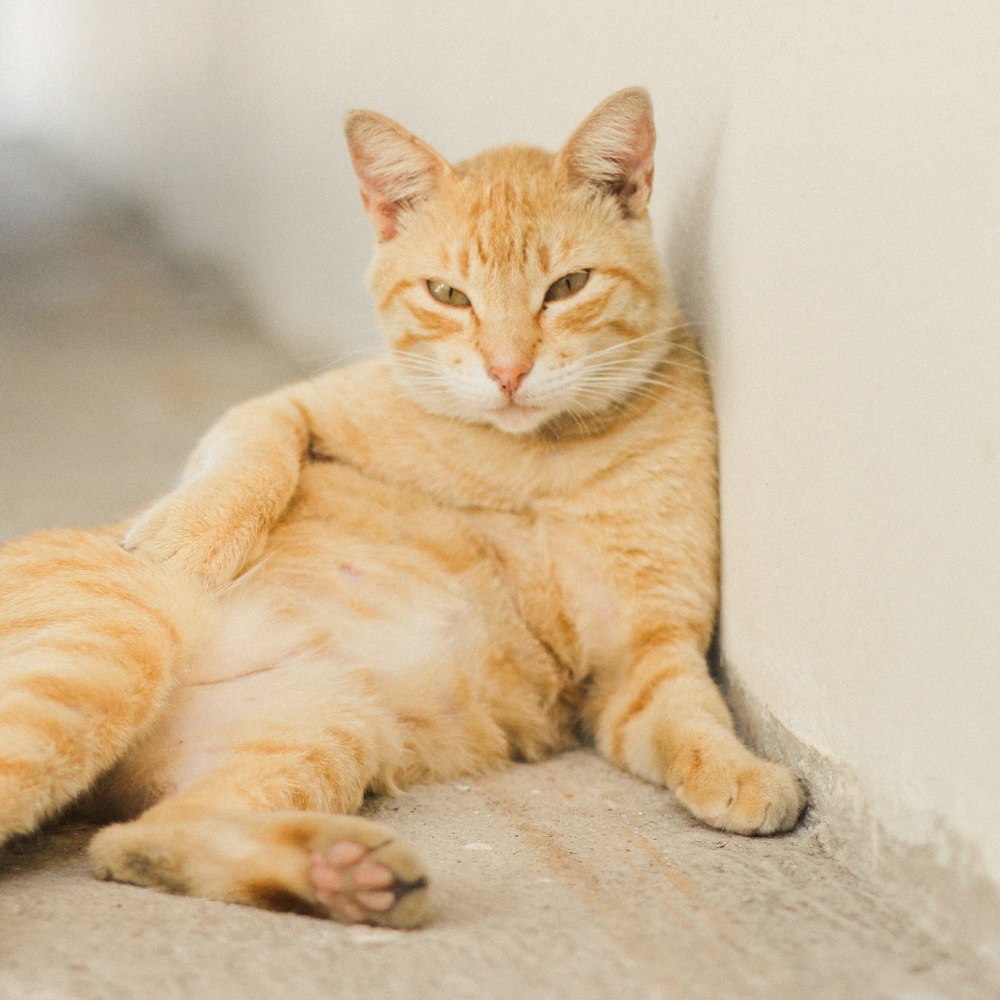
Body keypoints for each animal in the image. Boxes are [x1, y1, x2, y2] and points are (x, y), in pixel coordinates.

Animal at [0, 88, 800, 928]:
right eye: (448, 295)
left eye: (568, 287)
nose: (508, 371)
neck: (535, 462)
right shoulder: (289, 407)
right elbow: (257, 448)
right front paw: (192, 533)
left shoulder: (642, 654)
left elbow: (692, 716)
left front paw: (738, 769)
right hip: (102, 661)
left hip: (316, 728)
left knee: (133, 842)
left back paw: (348, 875)